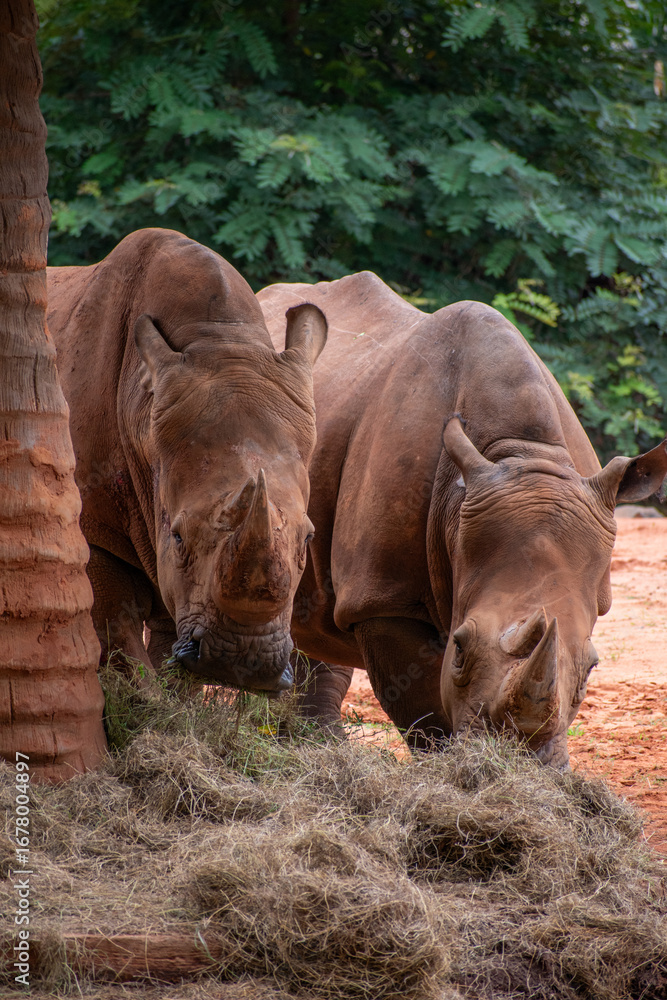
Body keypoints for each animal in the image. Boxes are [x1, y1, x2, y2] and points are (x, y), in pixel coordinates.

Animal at [47, 228, 326, 692]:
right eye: (177, 536)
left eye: (307, 539)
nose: (244, 662)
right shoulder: (92, 528)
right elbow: (120, 634)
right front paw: (140, 701)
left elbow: (172, 656)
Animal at [258, 273, 667, 767]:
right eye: (458, 648)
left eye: (592, 669)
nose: (521, 759)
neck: (521, 454)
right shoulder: (383, 596)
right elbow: (423, 707)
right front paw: (454, 772)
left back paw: (315, 746)